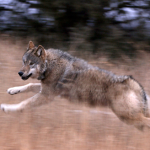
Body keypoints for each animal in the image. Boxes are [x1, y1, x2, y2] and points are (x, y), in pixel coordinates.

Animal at [0, 41, 150, 130]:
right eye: (24, 61)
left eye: (31, 64)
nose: (20, 73)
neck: (50, 65)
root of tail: (136, 84)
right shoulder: (45, 89)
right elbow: (30, 85)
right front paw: (12, 90)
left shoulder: (47, 96)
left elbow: (23, 104)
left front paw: (7, 108)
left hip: (127, 116)